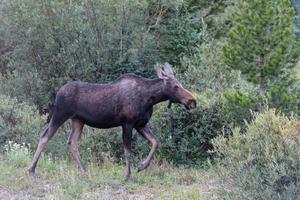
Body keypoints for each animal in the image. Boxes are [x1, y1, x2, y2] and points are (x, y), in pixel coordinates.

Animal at [28, 63, 197, 181]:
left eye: (180, 84)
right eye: (175, 86)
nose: (193, 101)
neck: (150, 99)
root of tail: (58, 93)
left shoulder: (140, 124)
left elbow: (156, 141)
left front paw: (141, 166)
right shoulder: (127, 123)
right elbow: (128, 151)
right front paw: (128, 176)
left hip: (78, 120)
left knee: (72, 142)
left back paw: (84, 171)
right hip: (60, 114)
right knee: (45, 136)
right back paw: (31, 169)